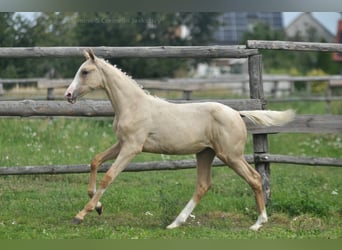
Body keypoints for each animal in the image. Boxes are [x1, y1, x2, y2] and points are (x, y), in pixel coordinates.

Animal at [64, 48, 294, 230]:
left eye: (85, 72)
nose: (68, 95)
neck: (133, 105)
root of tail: (238, 113)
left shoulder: (131, 147)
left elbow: (109, 176)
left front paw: (81, 215)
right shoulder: (121, 143)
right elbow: (95, 160)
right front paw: (99, 207)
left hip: (230, 155)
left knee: (254, 178)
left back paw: (258, 223)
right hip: (205, 153)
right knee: (203, 185)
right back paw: (175, 223)